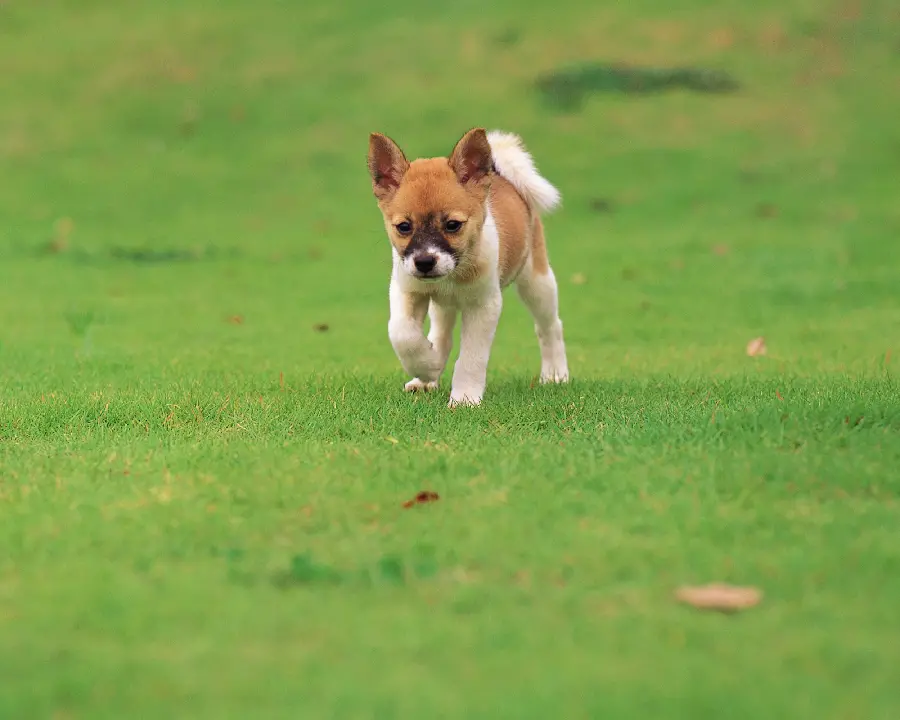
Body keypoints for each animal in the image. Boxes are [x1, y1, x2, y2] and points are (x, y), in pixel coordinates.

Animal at [366, 129, 568, 408]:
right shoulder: (407, 290)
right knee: (441, 336)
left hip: (536, 282)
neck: (454, 273)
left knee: (550, 326)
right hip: (443, 305)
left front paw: (464, 397)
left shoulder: (483, 306)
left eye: (453, 225)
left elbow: (472, 356)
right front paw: (428, 367)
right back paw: (427, 376)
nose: (425, 262)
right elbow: (402, 333)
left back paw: (555, 373)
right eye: (404, 227)